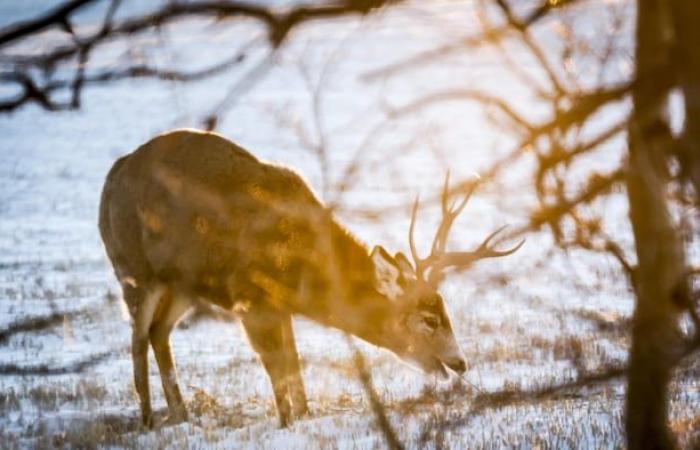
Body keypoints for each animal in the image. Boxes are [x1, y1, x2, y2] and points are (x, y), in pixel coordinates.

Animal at [100, 128, 524, 428]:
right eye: (429, 319)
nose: (461, 362)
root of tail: (112, 175)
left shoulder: (279, 305)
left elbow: (294, 361)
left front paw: (305, 415)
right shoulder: (249, 298)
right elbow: (276, 365)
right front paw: (286, 422)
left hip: (182, 286)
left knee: (159, 333)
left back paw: (181, 414)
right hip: (132, 269)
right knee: (138, 339)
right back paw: (148, 419)